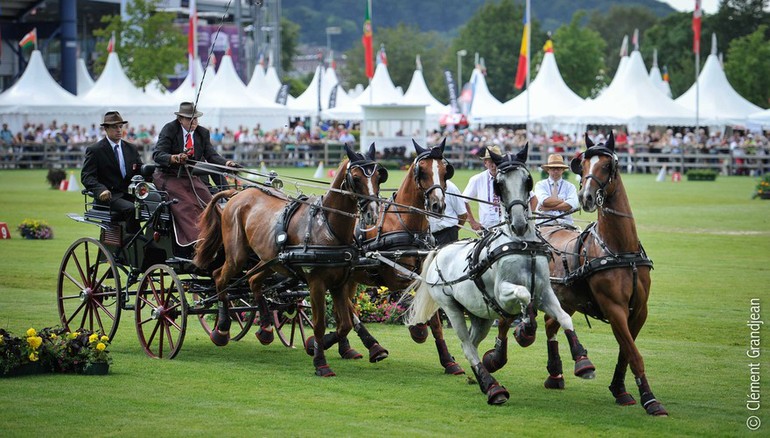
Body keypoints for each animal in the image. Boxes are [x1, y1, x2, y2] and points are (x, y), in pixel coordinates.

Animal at [192, 144, 384, 376]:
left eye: (378, 177)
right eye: (356, 178)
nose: (373, 214)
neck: (327, 227)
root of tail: (238, 193)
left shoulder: (340, 283)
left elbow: (344, 324)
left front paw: (316, 345)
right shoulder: (316, 283)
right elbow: (319, 324)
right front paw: (320, 362)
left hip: (270, 260)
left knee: (252, 280)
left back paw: (266, 328)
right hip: (237, 256)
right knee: (219, 277)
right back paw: (221, 329)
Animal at [404, 145, 592, 406]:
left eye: (527, 180)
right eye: (498, 184)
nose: (520, 223)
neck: (521, 244)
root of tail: (440, 251)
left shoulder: (545, 292)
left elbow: (564, 317)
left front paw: (583, 361)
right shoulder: (503, 293)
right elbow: (524, 294)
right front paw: (525, 330)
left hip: (479, 315)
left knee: (472, 344)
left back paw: (480, 377)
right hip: (451, 308)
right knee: (466, 345)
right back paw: (493, 388)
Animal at [486, 132, 664, 416]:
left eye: (607, 165)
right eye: (584, 164)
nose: (586, 196)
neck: (620, 250)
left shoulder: (639, 311)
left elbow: (626, 351)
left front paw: (620, 389)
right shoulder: (614, 308)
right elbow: (634, 353)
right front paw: (650, 399)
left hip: (567, 299)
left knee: (550, 325)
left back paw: (555, 373)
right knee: (505, 323)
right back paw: (498, 356)